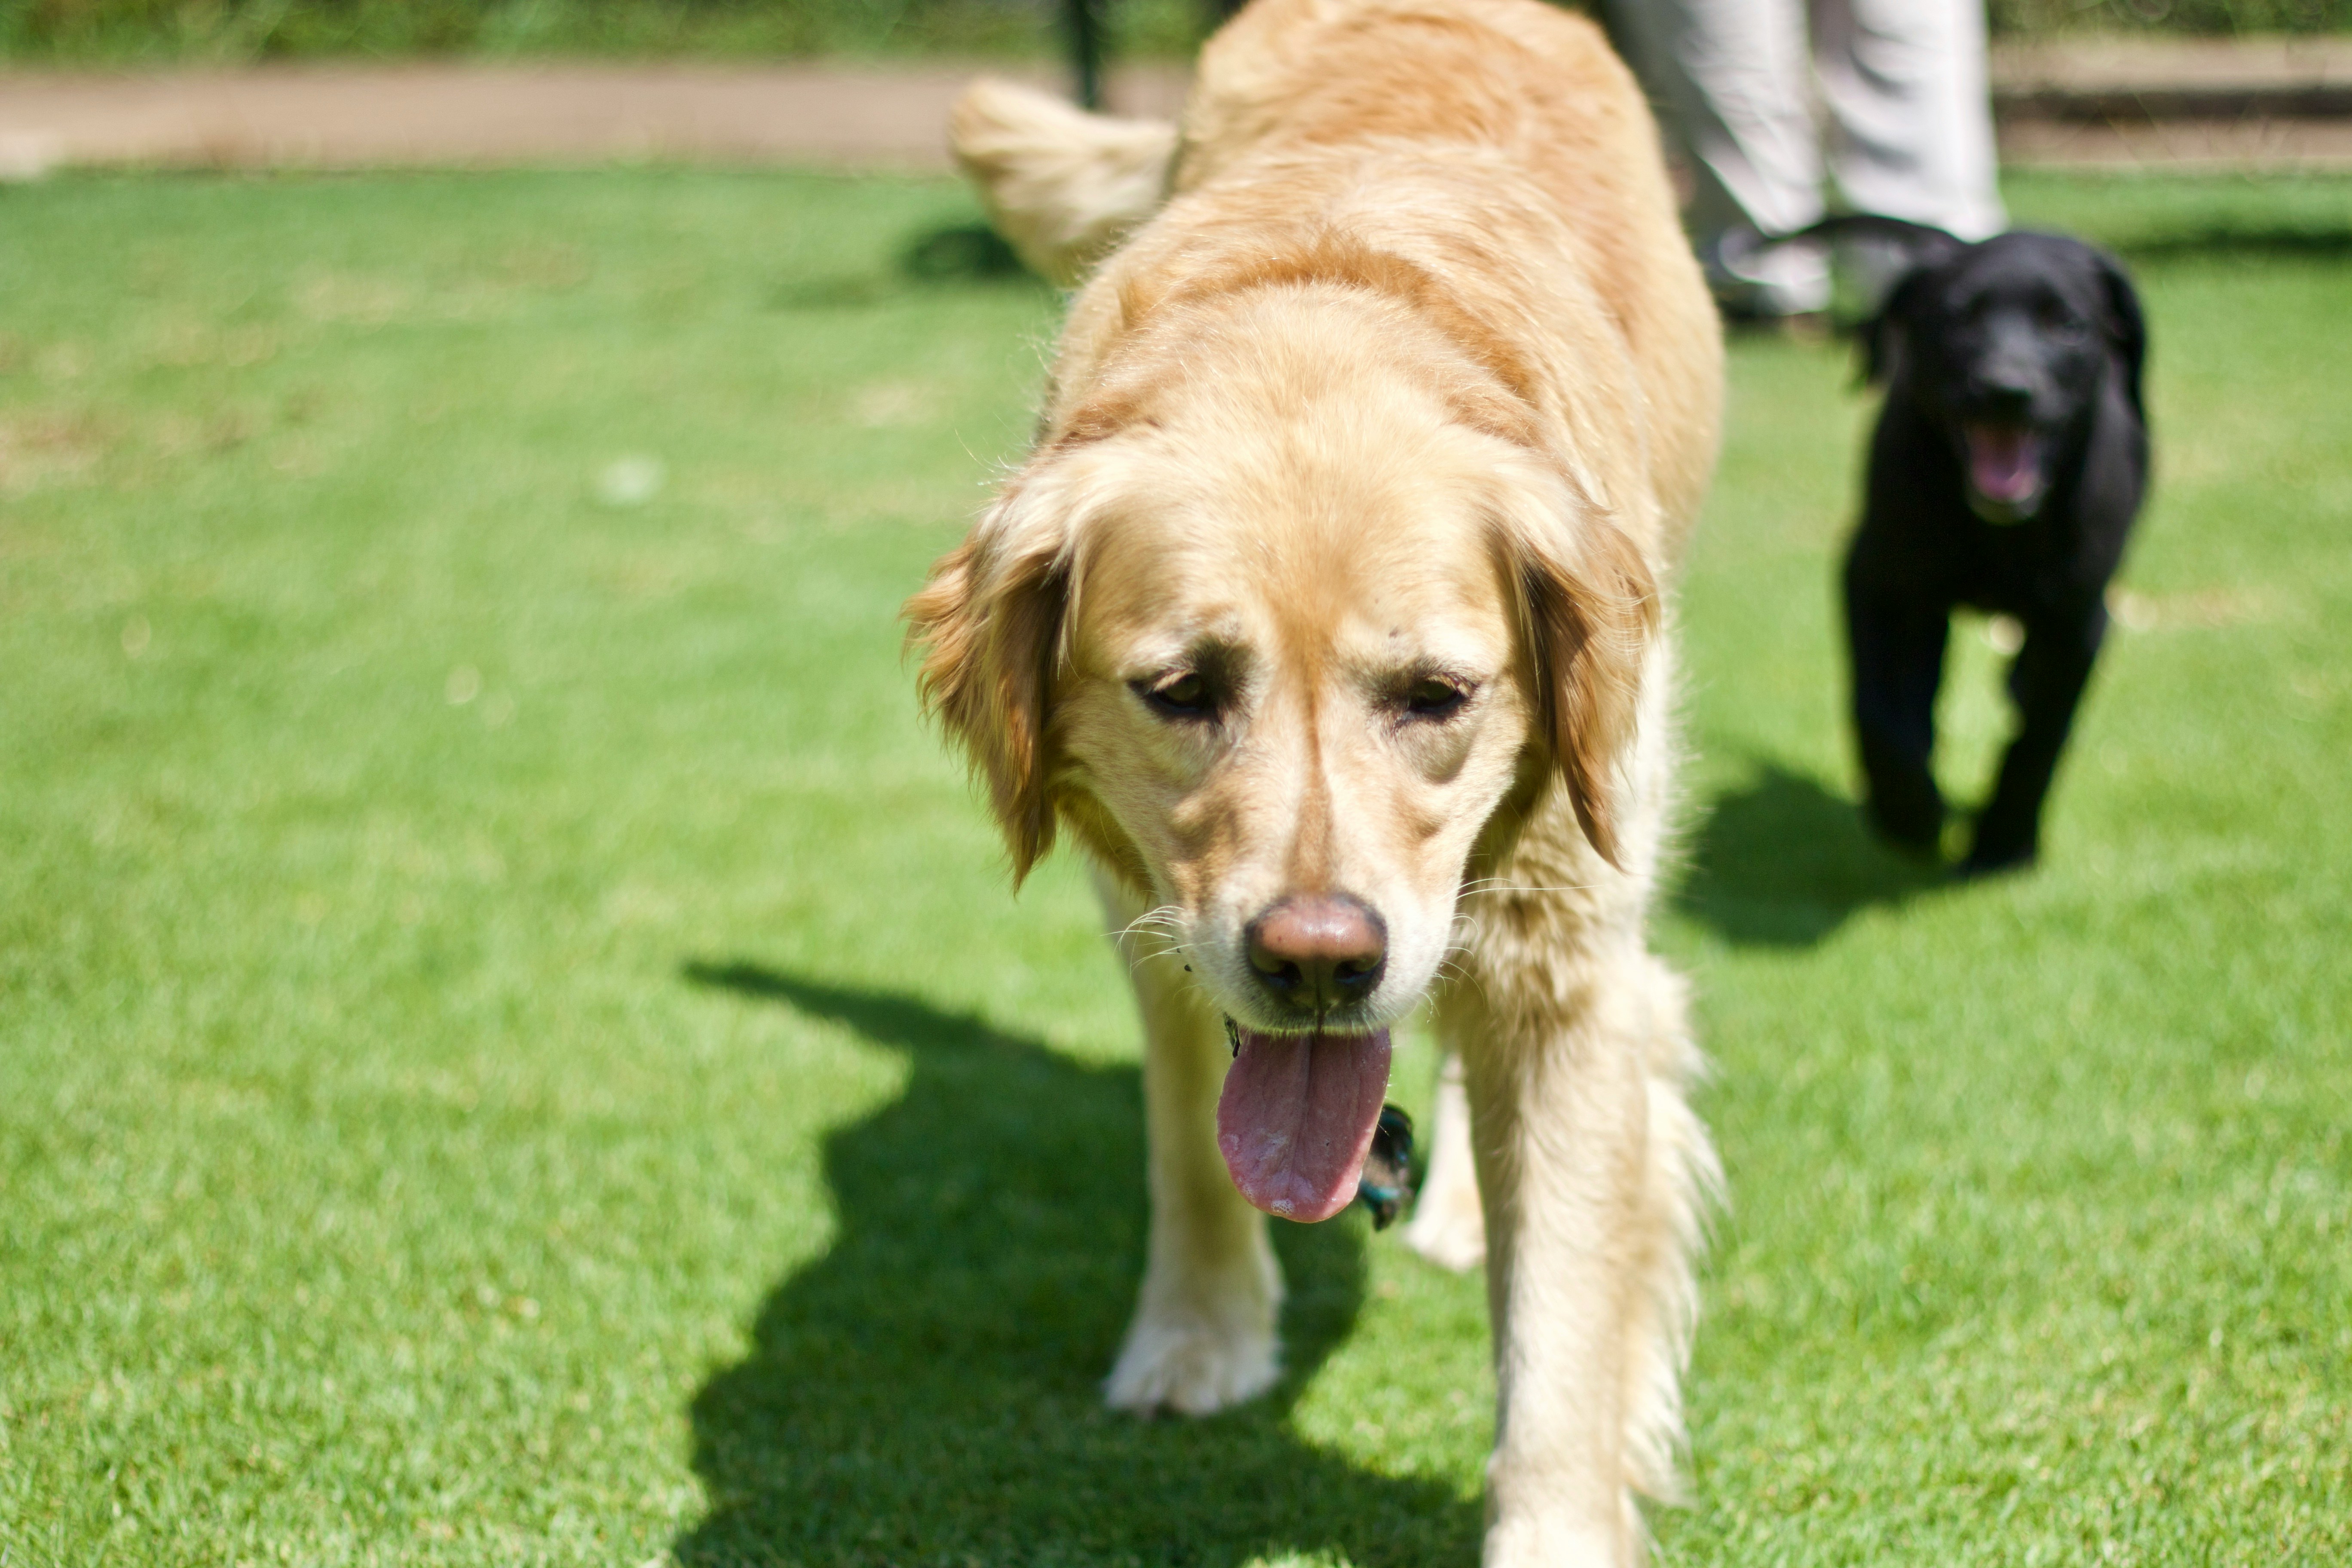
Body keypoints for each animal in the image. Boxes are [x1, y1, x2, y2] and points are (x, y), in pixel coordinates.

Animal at [908, 0, 1721, 1561]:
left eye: (1437, 696)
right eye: (1181, 690)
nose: (1322, 959)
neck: (1322, 305)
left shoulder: (1574, 964)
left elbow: (1565, 1337)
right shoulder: (1147, 913)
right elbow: (1185, 1131)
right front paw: (1198, 1337)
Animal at [1834, 227, 2154, 879]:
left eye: (2067, 325)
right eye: (1958, 320)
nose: (2007, 390)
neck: (1998, 531)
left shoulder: (2078, 620)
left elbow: (2041, 739)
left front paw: (2004, 845)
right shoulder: (1874, 580)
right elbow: (1879, 711)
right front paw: (1910, 813)